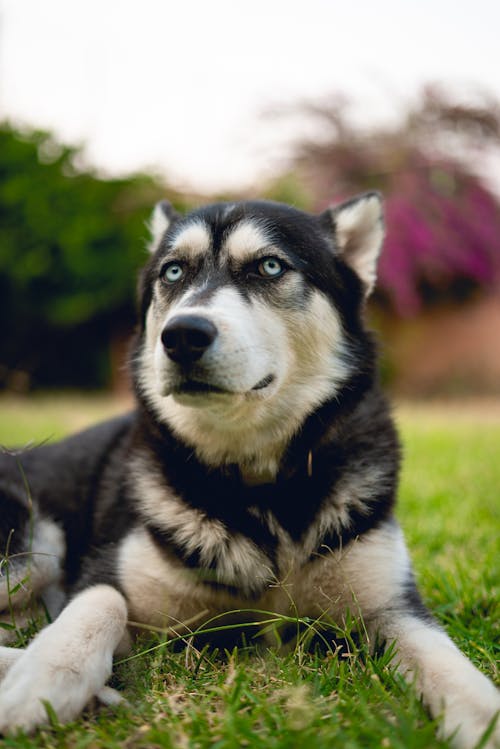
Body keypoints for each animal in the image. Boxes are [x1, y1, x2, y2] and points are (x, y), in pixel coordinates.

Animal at [0, 193, 498, 744]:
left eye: (270, 266)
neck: (261, 487)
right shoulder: (110, 576)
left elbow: (446, 660)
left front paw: (485, 717)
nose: (182, 335)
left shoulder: (392, 605)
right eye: (173, 271)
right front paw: (46, 675)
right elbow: (97, 603)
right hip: (31, 544)